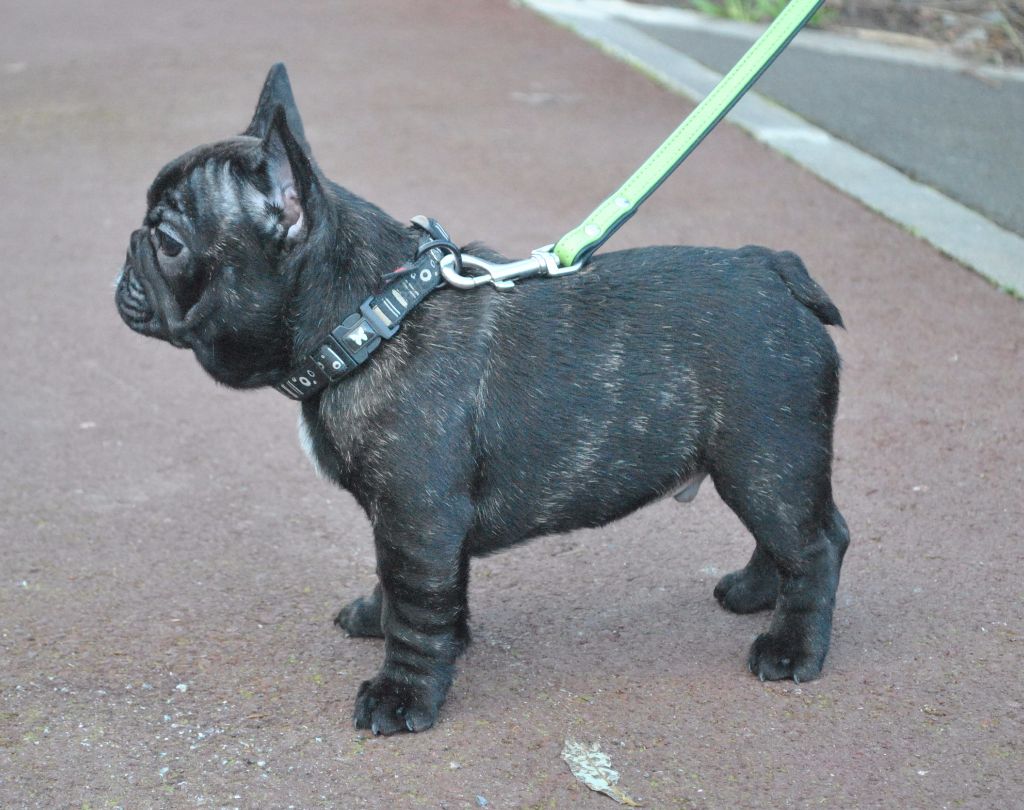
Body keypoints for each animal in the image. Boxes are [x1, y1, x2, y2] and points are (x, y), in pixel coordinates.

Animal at [116, 64, 849, 735]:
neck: (369, 319)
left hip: (766, 460)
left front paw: (401, 696)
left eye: (170, 242)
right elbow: (409, 589)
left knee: (816, 545)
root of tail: (774, 267)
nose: (127, 250)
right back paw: (755, 593)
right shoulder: (407, 525)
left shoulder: (417, 519)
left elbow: (418, 614)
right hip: (763, 465)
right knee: (789, 538)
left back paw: (791, 649)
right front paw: (380, 617)